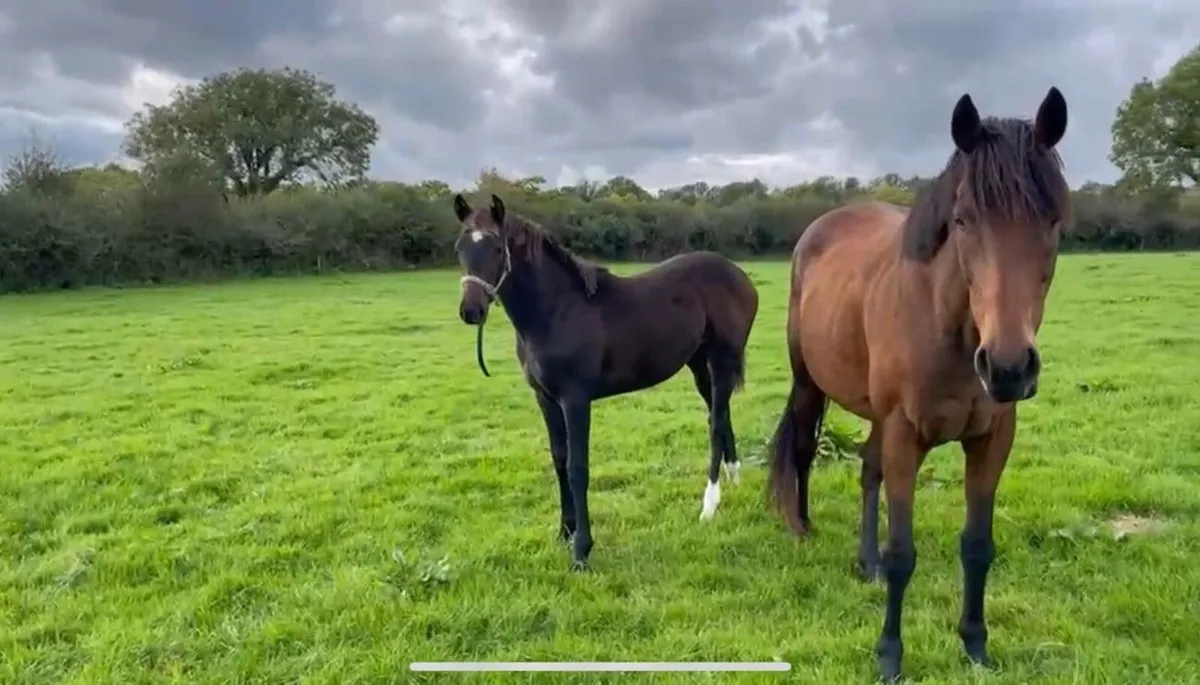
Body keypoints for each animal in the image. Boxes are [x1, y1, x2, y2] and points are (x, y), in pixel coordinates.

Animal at [452, 193, 759, 571]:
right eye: (461, 247)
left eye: (497, 248)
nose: (471, 311)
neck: (555, 312)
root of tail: (739, 276)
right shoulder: (545, 398)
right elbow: (559, 460)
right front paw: (564, 532)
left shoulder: (575, 399)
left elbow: (577, 467)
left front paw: (581, 551)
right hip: (699, 363)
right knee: (721, 413)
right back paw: (733, 477)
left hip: (722, 359)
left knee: (716, 422)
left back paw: (709, 505)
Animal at [765, 87, 1070, 681]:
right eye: (964, 219)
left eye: (1052, 220)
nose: (1007, 367)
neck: (946, 327)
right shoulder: (906, 434)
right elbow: (903, 552)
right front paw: (889, 656)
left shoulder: (993, 438)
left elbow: (977, 544)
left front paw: (975, 645)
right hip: (811, 382)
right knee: (805, 448)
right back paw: (802, 526)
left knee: (867, 469)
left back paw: (864, 561)